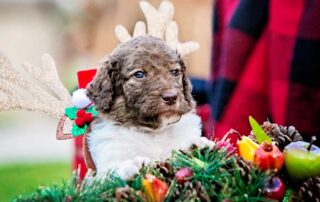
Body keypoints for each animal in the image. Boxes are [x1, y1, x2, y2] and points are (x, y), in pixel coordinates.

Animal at [86, 36, 211, 178]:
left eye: (175, 72)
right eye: (139, 74)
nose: (171, 97)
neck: (155, 132)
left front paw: (196, 146)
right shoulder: (105, 163)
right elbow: (112, 171)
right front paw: (134, 165)